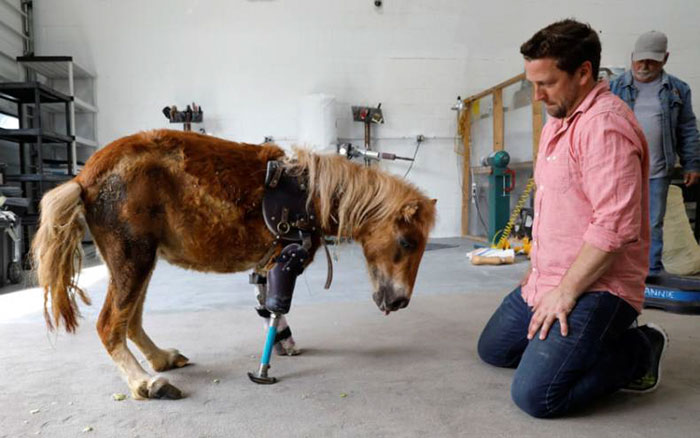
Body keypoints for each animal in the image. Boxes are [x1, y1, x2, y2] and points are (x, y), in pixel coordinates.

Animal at [31, 129, 437, 400]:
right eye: (407, 242)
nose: (399, 301)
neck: (315, 196)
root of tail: (84, 179)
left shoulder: (269, 265)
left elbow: (270, 308)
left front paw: (284, 344)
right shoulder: (287, 260)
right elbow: (277, 307)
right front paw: (266, 367)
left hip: (142, 260)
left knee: (130, 320)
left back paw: (161, 359)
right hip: (133, 257)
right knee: (110, 324)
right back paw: (146, 383)